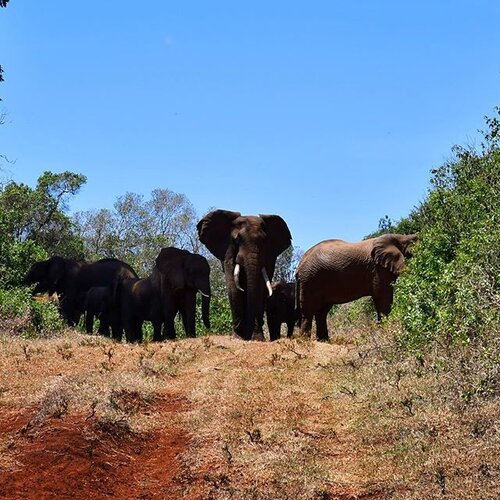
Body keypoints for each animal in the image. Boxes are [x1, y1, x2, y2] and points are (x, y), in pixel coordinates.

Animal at [196, 209, 292, 342]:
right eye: (236, 240)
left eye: (264, 242)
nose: (247, 336)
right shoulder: (228, 252)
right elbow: (233, 287)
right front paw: (238, 337)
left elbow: (259, 288)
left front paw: (257, 339)